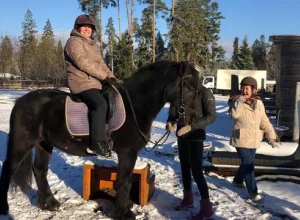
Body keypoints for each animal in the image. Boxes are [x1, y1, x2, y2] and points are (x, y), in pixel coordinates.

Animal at [0, 60, 202, 218]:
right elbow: (125, 180)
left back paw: (49, 203)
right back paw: (6, 209)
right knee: (9, 169)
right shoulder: (127, 152)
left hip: (44, 144)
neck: (136, 105)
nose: (192, 120)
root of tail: (20, 101)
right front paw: (125, 212)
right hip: (23, 143)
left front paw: (125, 207)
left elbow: (124, 178)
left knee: (39, 170)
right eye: (190, 86)